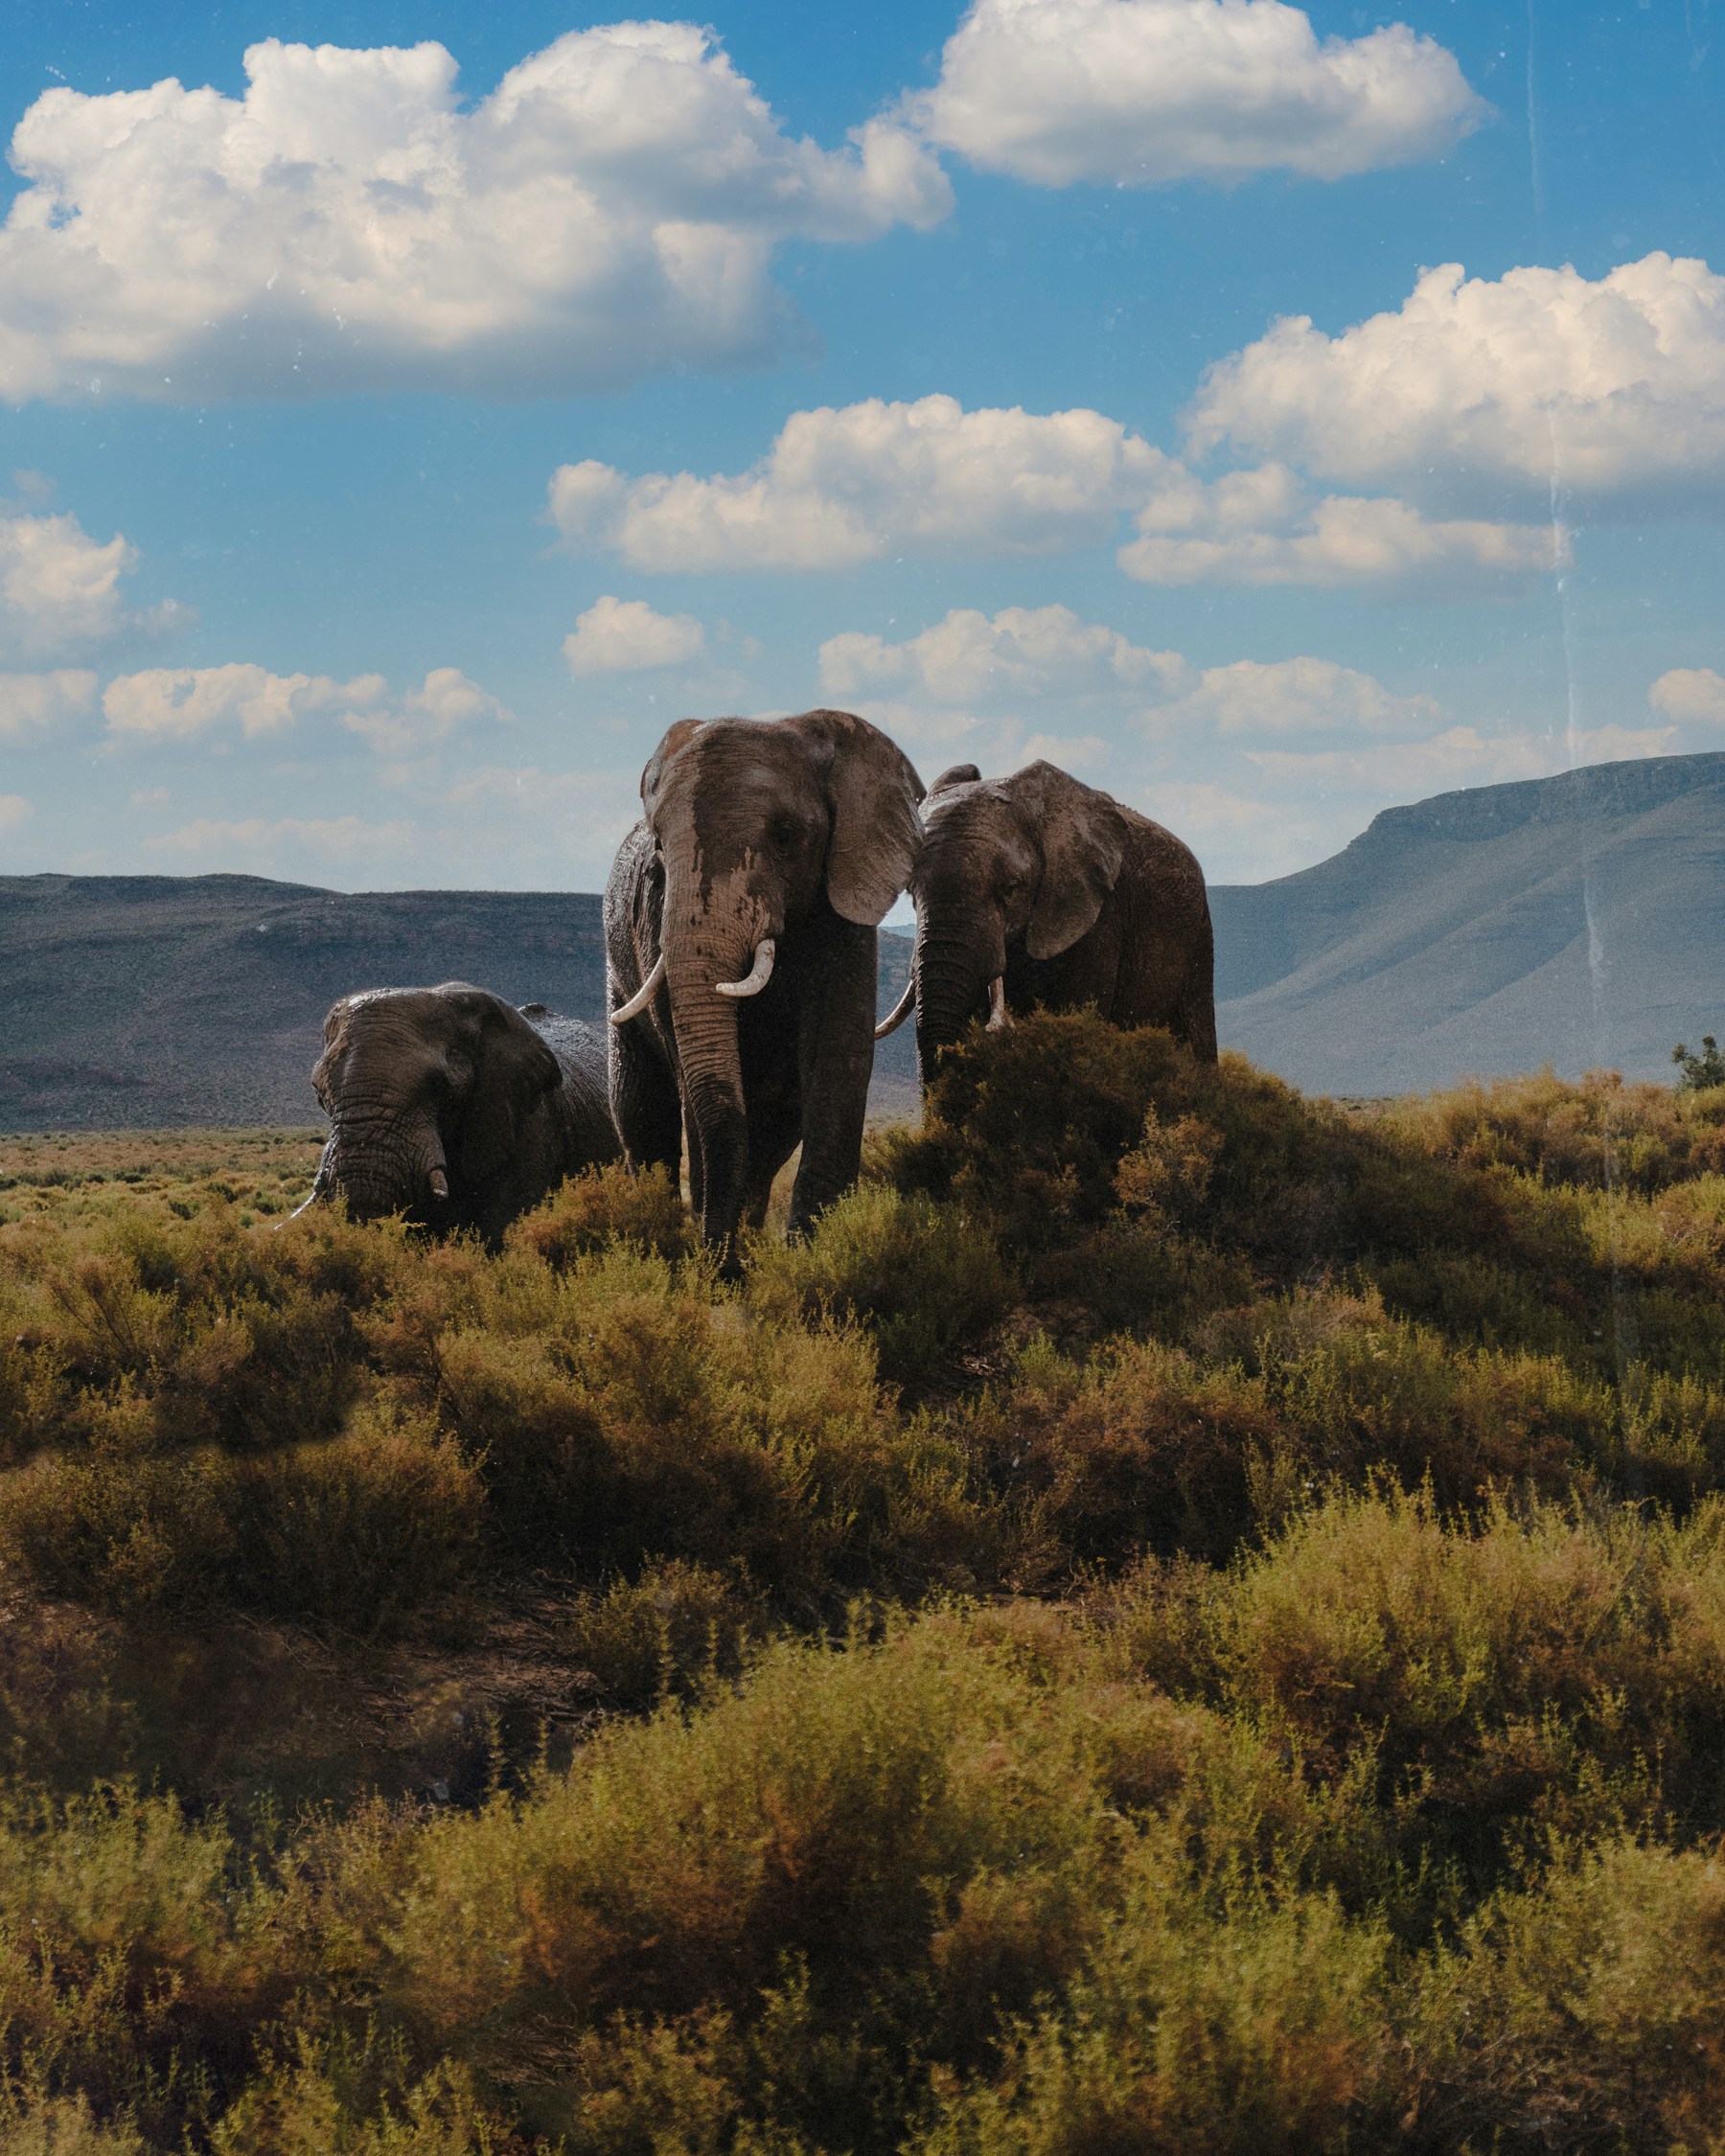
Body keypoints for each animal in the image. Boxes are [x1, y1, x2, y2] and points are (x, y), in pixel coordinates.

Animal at [605, 706, 924, 1259]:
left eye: (786, 834)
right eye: (661, 846)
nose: (717, 1260)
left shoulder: (842, 898)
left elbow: (836, 1054)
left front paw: (811, 1257)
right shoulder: (654, 913)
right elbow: (690, 1082)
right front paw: (721, 1263)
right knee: (642, 1111)